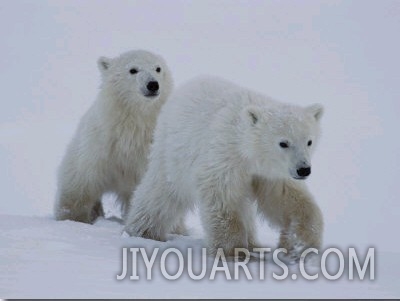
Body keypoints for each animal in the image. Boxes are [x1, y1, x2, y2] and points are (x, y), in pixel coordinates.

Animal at [54, 49, 173, 223]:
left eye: (158, 68)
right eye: (133, 70)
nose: (153, 84)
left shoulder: (149, 148)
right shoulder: (100, 146)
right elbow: (81, 186)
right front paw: (73, 218)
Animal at [123, 75, 324, 258]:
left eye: (309, 141)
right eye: (283, 143)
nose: (303, 169)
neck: (245, 147)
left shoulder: (270, 173)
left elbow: (286, 198)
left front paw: (301, 243)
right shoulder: (225, 157)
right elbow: (223, 199)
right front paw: (232, 251)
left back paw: (255, 245)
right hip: (173, 153)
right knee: (162, 193)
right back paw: (143, 231)